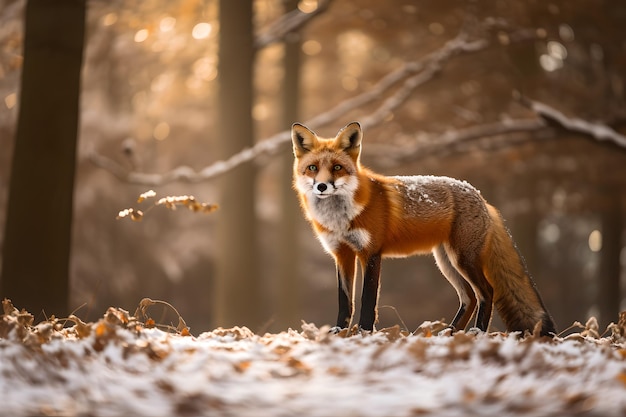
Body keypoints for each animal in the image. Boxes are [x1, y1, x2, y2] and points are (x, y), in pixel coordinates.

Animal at [290, 122, 552, 336]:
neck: (340, 217)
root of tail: (479, 195)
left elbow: (367, 300)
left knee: (487, 292)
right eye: (312, 168)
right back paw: (450, 332)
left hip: (463, 259)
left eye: (337, 168)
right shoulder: (342, 254)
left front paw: (364, 333)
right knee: (468, 297)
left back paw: (476, 332)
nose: (322, 186)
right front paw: (339, 332)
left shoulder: (371, 253)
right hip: (446, 262)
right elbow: (345, 301)